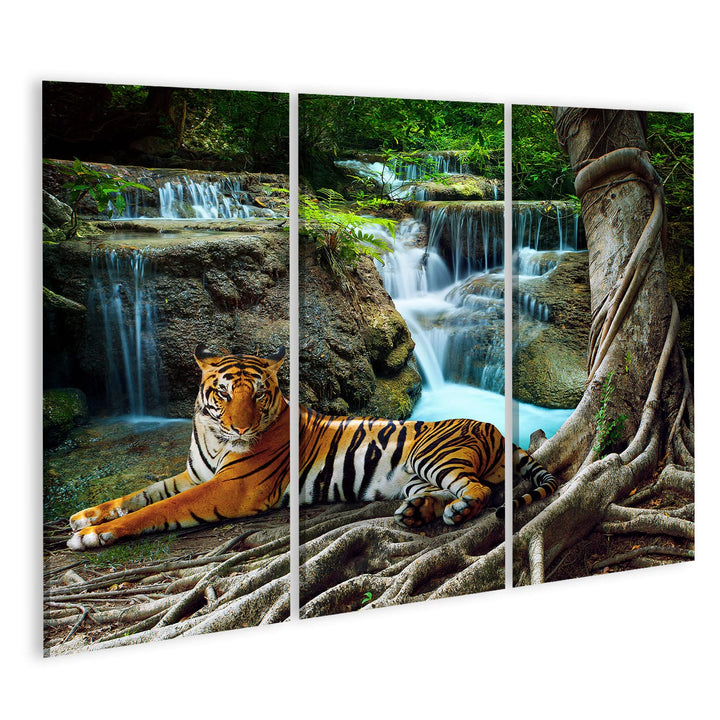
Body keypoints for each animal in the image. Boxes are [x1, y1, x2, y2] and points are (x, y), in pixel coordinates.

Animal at [67, 346, 557, 549]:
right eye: (223, 393)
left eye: (258, 394)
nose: (241, 426)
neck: (212, 434)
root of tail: (497, 429)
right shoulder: (194, 474)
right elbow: (141, 495)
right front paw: (86, 516)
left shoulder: (230, 488)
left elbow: (157, 509)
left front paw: (94, 535)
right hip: (415, 477)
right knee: (440, 494)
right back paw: (418, 514)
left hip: (433, 456)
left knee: (482, 491)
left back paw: (459, 511)